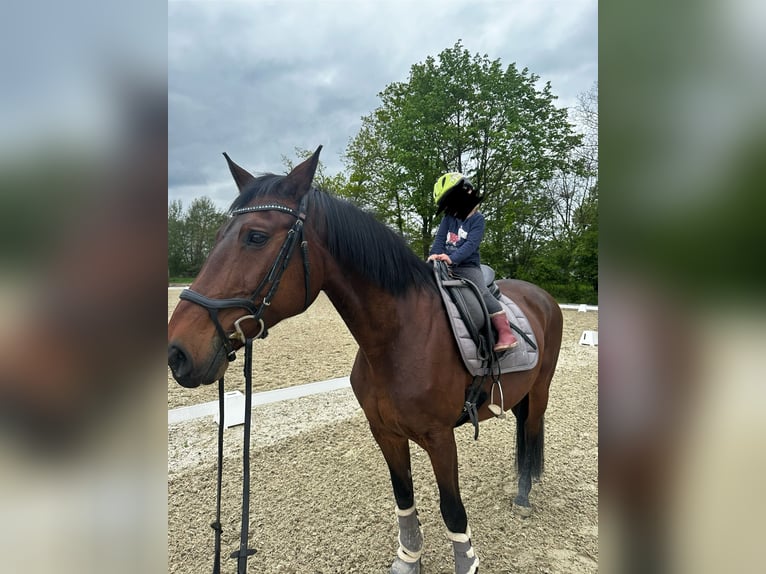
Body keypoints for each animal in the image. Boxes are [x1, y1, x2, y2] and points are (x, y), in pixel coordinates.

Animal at [168, 148, 564, 574]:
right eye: (217, 237)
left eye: (255, 237)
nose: (176, 352)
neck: (398, 338)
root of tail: (541, 296)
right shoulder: (385, 432)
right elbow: (404, 497)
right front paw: (408, 558)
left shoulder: (440, 438)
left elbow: (453, 511)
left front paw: (467, 564)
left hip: (540, 390)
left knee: (531, 432)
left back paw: (523, 495)